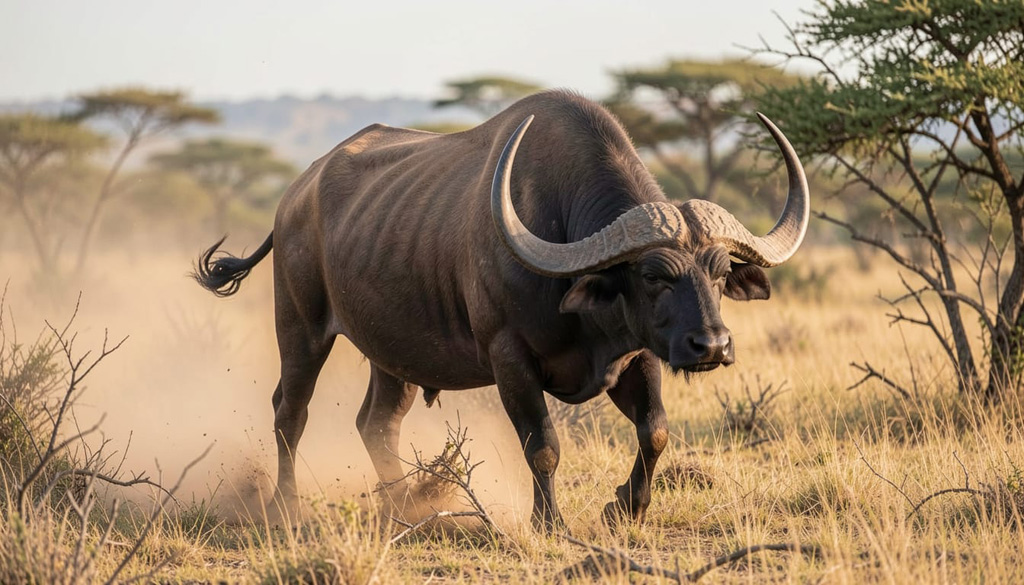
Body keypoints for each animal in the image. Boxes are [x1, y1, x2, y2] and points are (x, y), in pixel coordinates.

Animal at [194, 90, 809, 530]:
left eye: (721, 272)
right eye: (653, 275)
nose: (712, 346)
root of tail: (294, 196)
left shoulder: (638, 354)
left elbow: (654, 431)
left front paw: (625, 508)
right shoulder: (510, 359)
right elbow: (543, 446)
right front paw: (549, 522)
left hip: (393, 357)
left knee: (377, 423)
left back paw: (406, 510)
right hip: (301, 329)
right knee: (289, 413)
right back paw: (286, 509)